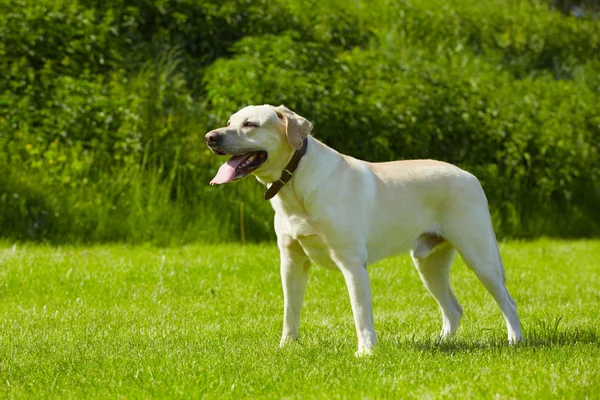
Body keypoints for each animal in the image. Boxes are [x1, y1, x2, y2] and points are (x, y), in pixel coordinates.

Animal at [204, 104, 524, 354]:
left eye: (250, 124)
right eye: (230, 122)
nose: (210, 137)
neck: (295, 185)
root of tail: (470, 176)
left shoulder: (352, 263)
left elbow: (360, 312)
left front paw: (366, 352)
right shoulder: (291, 261)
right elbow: (290, 310)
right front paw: (287, 347)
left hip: (479, 256)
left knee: (508, 302)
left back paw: (515, 342)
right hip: (428, 264)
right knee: (453, 309)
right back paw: (441, 343)